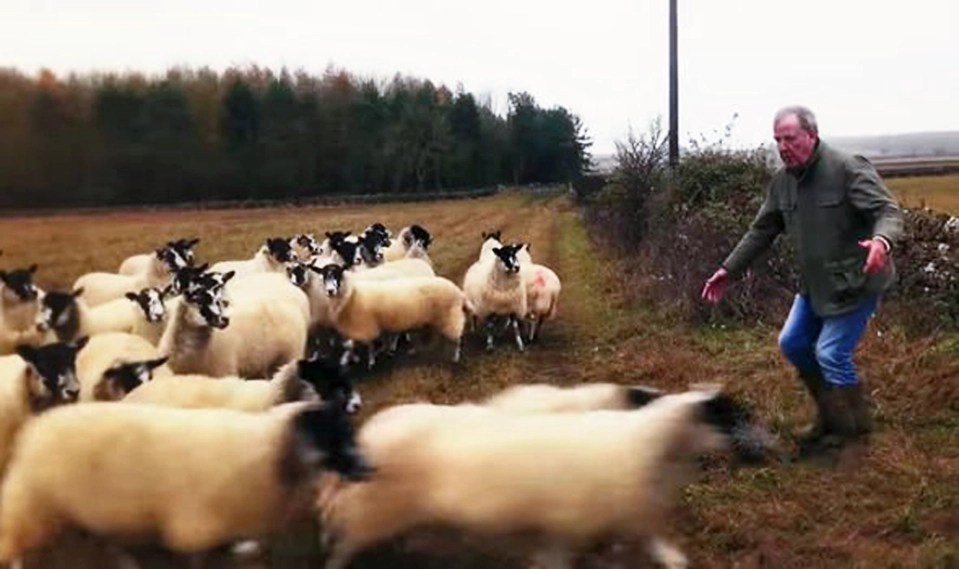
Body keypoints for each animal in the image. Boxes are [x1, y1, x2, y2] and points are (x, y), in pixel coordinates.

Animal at [0, 400, 374, 564]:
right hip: (34, 508)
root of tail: (32, 431)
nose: (370, 468)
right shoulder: (192, 530)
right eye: (333, 438)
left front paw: (241, 549)